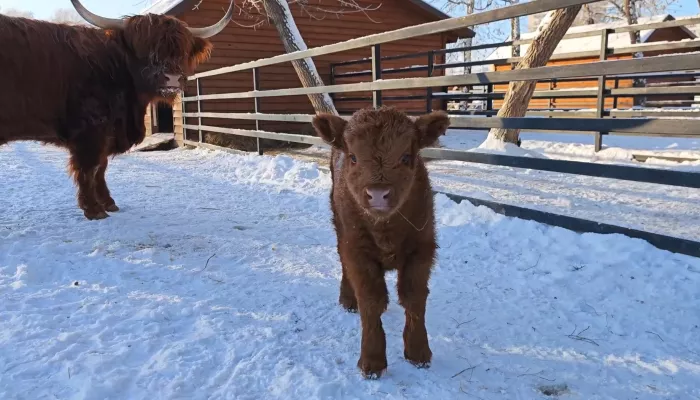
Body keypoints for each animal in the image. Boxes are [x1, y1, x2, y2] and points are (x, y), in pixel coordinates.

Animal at [0, 0, 235, 220]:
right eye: (144, 48)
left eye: (182, 50)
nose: (173, 78)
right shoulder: (90, 131)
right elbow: (89, 168)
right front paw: (94, 209)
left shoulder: (107, 132)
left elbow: (101, 168)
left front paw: (108, 203)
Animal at [312, 105, 448, 378]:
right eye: (353, 157)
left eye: (406, 157)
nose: (377, 194)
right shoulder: (357, 251)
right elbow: (371, 301)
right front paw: (372, 361)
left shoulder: (422, 248)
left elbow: (414, 297)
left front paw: (418, 352)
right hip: (340, 230)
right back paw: (347, 299)